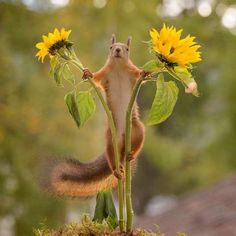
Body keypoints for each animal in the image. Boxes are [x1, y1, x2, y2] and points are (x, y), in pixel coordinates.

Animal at [42, 35, 146, 197]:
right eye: (111, 47)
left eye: (127, 48)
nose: (117, 50)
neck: (118, 67)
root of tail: (123, 143)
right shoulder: (105, 74)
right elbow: (96, 78)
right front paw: (88, 74)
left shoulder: (132, 72)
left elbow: (139, 74)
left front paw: (144, 73)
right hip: (111, 138)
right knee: (111, 157)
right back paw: (116, 170)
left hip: (137, 128)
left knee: (138, 143)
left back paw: (132, 155)